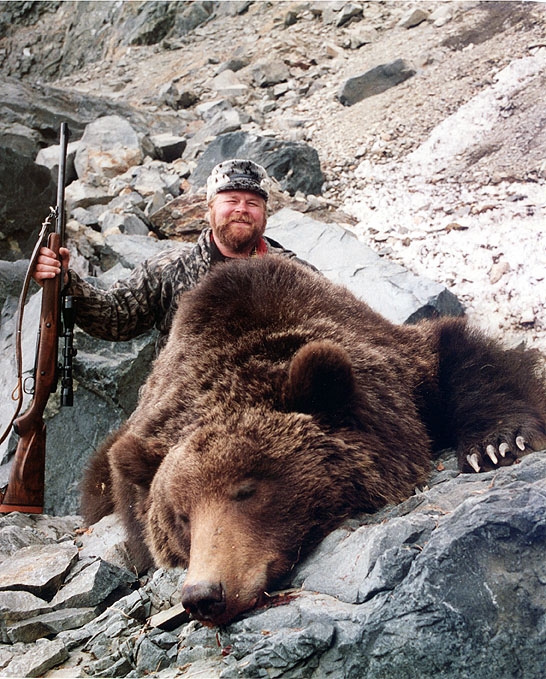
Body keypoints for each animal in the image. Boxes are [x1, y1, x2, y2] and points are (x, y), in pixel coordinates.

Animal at [79, 255, 544, 628]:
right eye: (181, 516)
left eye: (246, 489)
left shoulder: (397, 365)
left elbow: (464, 357)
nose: (204, 595)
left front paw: (499, 443)